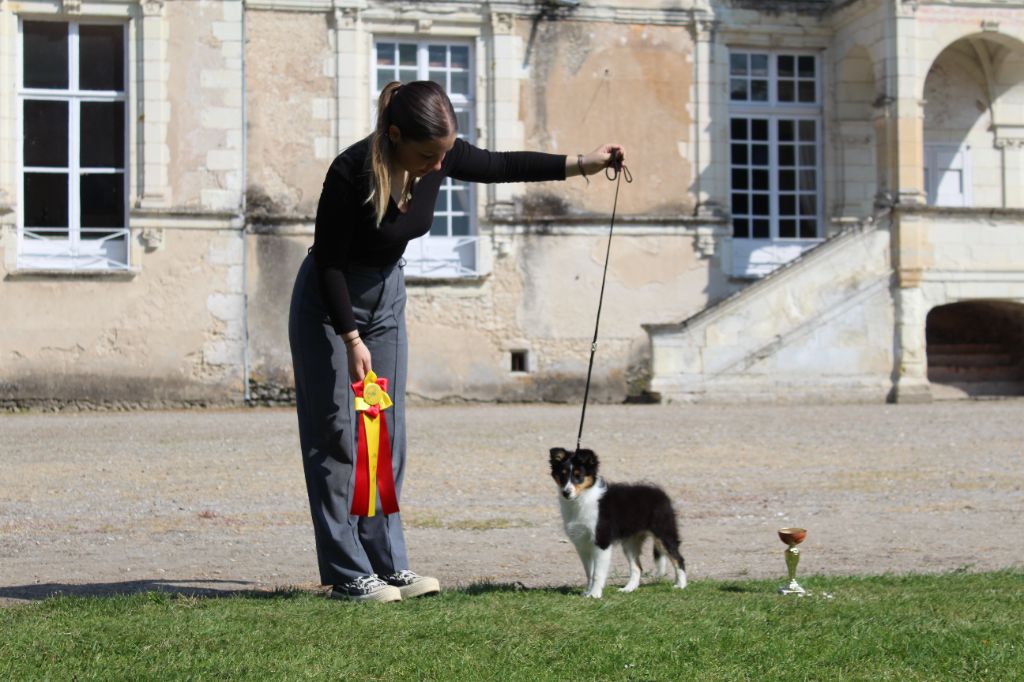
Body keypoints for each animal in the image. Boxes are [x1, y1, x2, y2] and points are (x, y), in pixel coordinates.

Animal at [550, 447, 688, 598]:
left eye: (578, 475)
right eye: (562, 475)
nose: (566, 493)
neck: (583, 499)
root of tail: (661, 494)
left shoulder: (602, 542)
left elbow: (597, 573)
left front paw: (595, 594)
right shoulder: (582, 544)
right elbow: (589, 573)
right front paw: (587, 593)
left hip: (663, 534)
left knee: (678, 559)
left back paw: (681, 585)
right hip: (630, 543)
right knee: (637, 568)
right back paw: (628, 589)